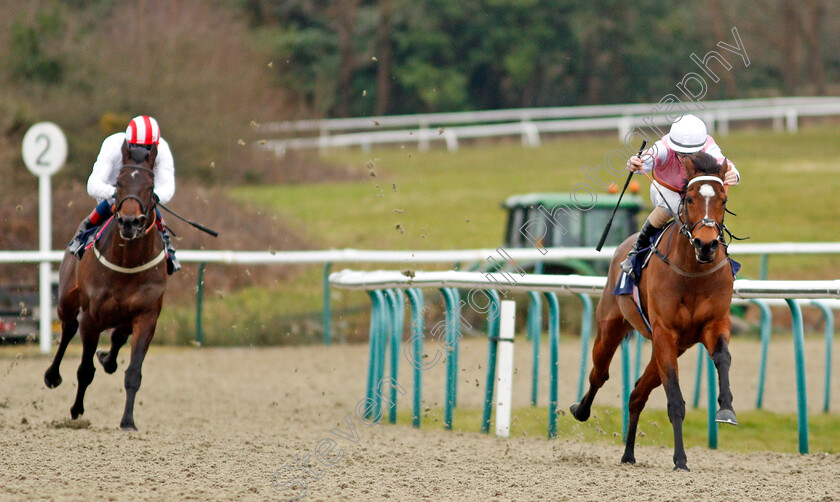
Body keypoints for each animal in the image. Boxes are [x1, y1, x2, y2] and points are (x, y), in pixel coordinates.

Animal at [44, 141, 167, 432]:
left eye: (150, 185)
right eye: (119, 182)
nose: (130, 222)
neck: (128, 262)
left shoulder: (147, 316)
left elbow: (133, 373)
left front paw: (128, 421)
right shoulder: (92, 317)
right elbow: (84, 370)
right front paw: (76, 410)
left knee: (118, 336)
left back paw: (107, 359)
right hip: (66, 299)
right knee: (68, 328)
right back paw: (52, 375)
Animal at [572, 152, 736, 470]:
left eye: (723, 200)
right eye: (689, 199)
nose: (707, 244)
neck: (693, 272)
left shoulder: (715, 324)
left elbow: (723, 357)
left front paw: (726, 410)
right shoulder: (664, 332)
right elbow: (675, 399)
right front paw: (681, 459)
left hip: (675, 347)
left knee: (637, 393)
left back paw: (628, 454)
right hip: (611, 328)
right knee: (599, 374)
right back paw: (580, 410)